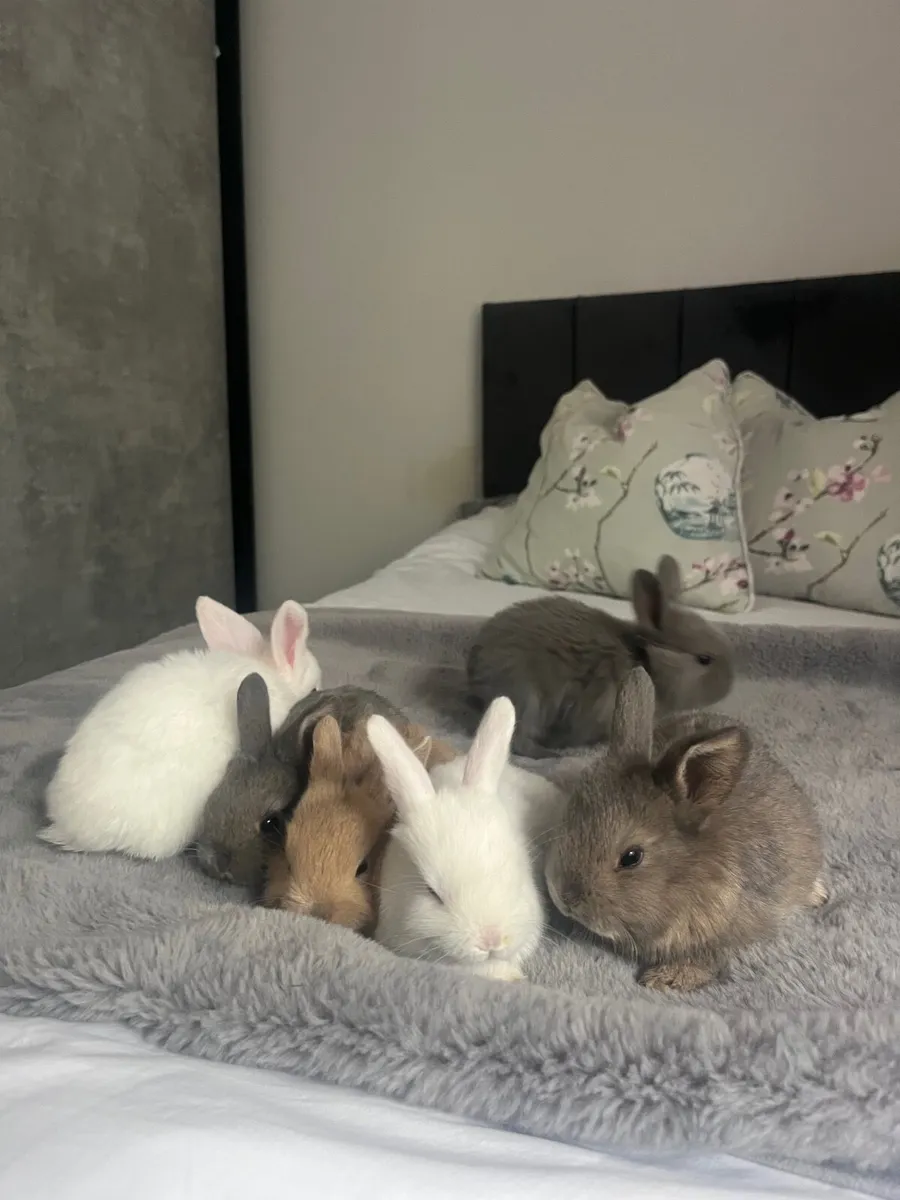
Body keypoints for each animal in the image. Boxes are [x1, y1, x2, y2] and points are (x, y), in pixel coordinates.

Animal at [466, 554, 734, 759]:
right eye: (703, 659)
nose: (729, 687)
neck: (647, 661)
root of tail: (474, 670)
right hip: (525, 699)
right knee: (519, 742)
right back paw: (551, 754)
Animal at [543, 666, 828, 992]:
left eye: (631, 857)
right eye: (569, 816)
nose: (564, 898)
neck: (688, 877)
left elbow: (707, 959)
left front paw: (667, 978)